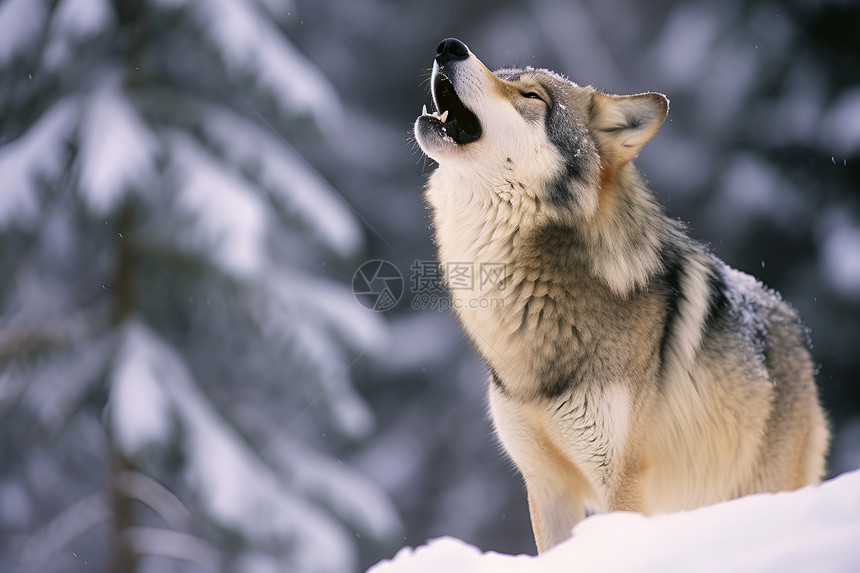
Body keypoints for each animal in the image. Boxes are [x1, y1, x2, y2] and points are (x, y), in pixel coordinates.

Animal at [414, 38, 828, 552]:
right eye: (501, 73)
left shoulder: (621, 479)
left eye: (531, 96)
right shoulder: (545, 485)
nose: (449, 46)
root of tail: (788, 321)